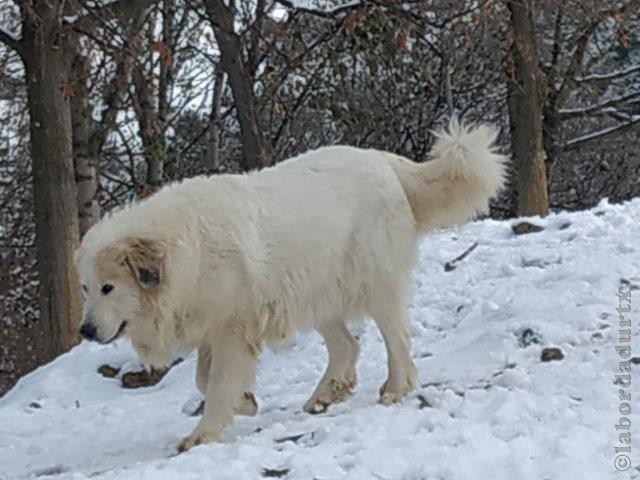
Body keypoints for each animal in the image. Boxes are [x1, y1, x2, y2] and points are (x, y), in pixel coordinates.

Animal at [76, 120, 504, 450]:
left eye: (108, 288)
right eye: (85, 288)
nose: (86, 330)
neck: (187, 252)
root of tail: (380, 160)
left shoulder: (232, 330)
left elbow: (216, 383)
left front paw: (204, 434)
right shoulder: (215, 328)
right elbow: (203, 378)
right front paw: (245, 402)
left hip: (375, 285)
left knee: (396, 339)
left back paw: (395, 388)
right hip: (318, 293)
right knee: (347, 346)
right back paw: (325, 395)